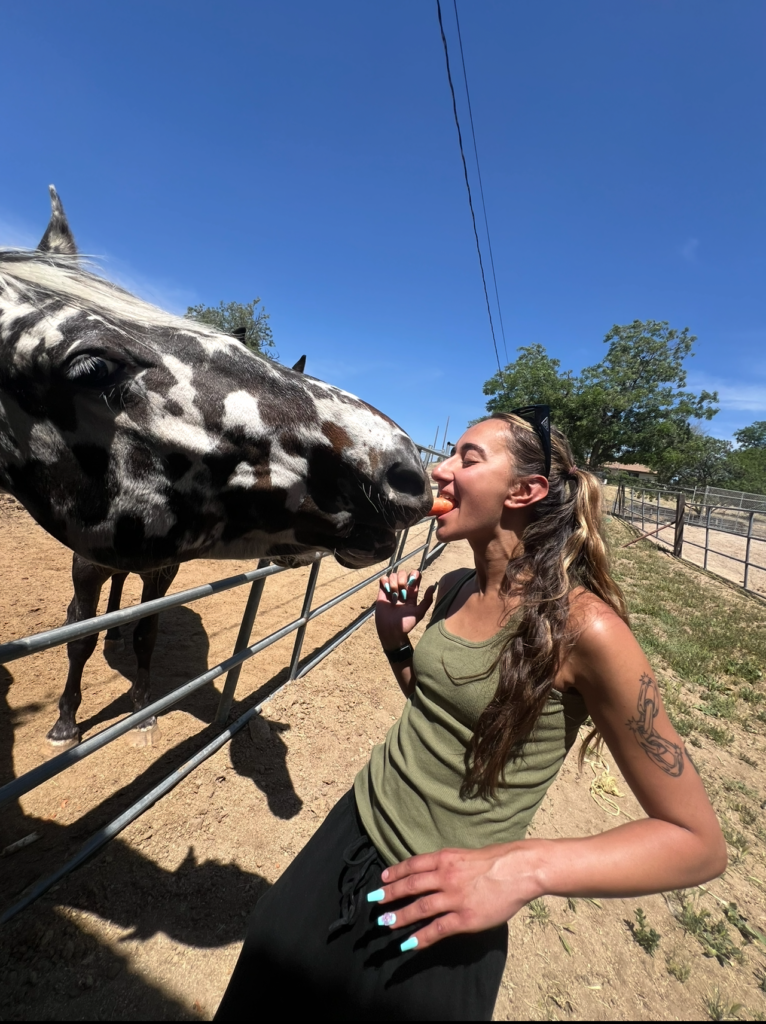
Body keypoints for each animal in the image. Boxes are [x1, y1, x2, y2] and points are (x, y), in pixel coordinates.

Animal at [0, 186, 430, 748]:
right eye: (92, 367)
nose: (405, 469)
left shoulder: (161, 569)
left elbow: (147, 632)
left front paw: (143, 709)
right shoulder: (85, 566)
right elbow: (78, 638)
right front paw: (65, 723)